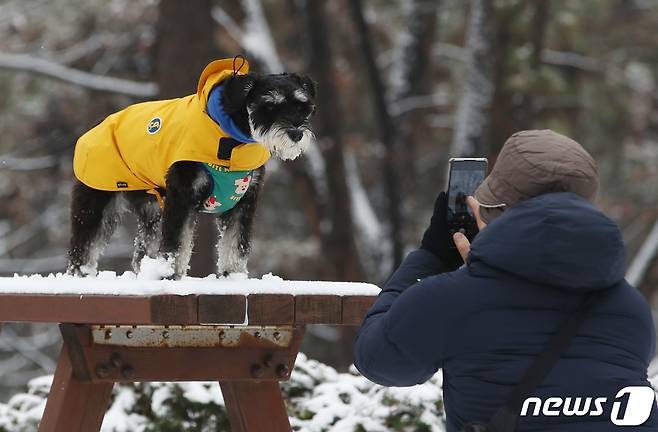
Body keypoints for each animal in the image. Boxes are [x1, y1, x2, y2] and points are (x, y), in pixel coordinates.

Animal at [66, 57, 316, 278]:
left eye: (301, 106)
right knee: (83, 246)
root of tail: (93, 129)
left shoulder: (244, 200)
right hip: (96, 203)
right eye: (270, 106)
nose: (296, 134)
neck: (229, 137)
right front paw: (170, 275)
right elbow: (176, 243)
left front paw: (233, 276)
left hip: (154, 210)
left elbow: (236, 243)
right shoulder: (183, 195)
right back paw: (81, 274)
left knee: (142, 251)